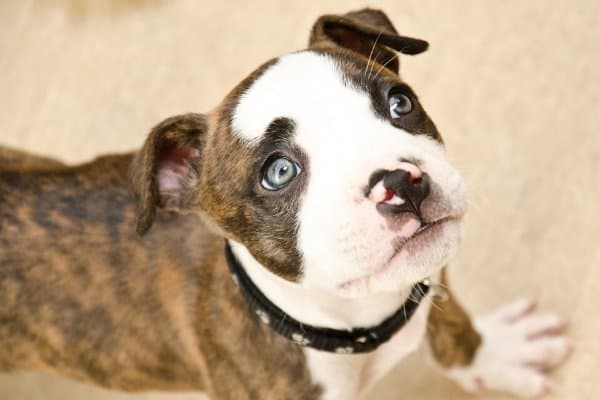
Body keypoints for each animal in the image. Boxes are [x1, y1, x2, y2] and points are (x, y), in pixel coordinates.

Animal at [0, 7, 568, 398]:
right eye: (278, 173)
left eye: (399, 103)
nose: (402, 183)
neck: (355, 323)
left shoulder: (429, 283)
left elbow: (454, 331)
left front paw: (495, 354)